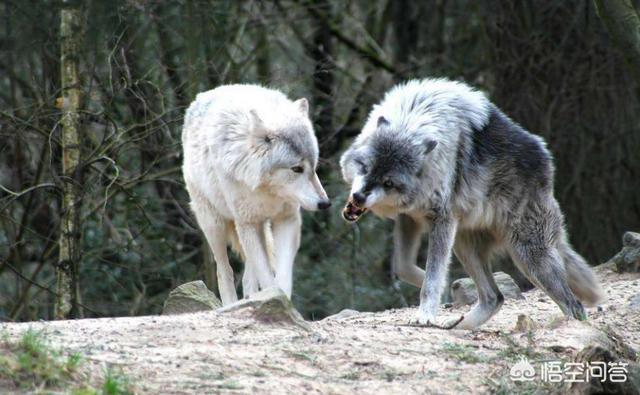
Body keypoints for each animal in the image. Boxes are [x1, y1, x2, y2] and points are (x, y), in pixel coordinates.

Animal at [180, 84, 330, 306]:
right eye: (296, 169)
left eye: (314, 166)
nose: (325, 203)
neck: (267, 191)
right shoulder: (247, 223)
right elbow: (267, 278)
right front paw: (276, 300)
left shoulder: (287, 220)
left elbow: (282, 277)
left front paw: (282, 303)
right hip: (215, 225)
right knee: (224, 272)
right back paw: (232, 304)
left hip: (258, 227)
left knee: (248, 275)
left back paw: (251, 298)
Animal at [342, 79, 604, 330]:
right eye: (365, 168)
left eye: (388, 182)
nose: (359, 197)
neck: (415, 117)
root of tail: (547, 161)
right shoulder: (409, 216)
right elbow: (403, 267)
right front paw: (429, 285)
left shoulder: (442, 219)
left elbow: (433, 277)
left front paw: (426, 314)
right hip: (464, 245)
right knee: (494, 297)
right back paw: (458, 327)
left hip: (528, 258)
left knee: (573, 305)